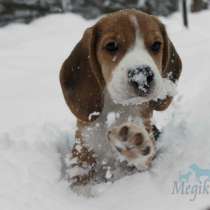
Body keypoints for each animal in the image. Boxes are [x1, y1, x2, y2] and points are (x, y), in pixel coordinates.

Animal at [60, 9, 181, 185]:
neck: (116, 108)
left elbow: (144, 163)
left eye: (156, 45)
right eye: (111, 45)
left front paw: (132, 144)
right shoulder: (82, 157)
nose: (142, 76)